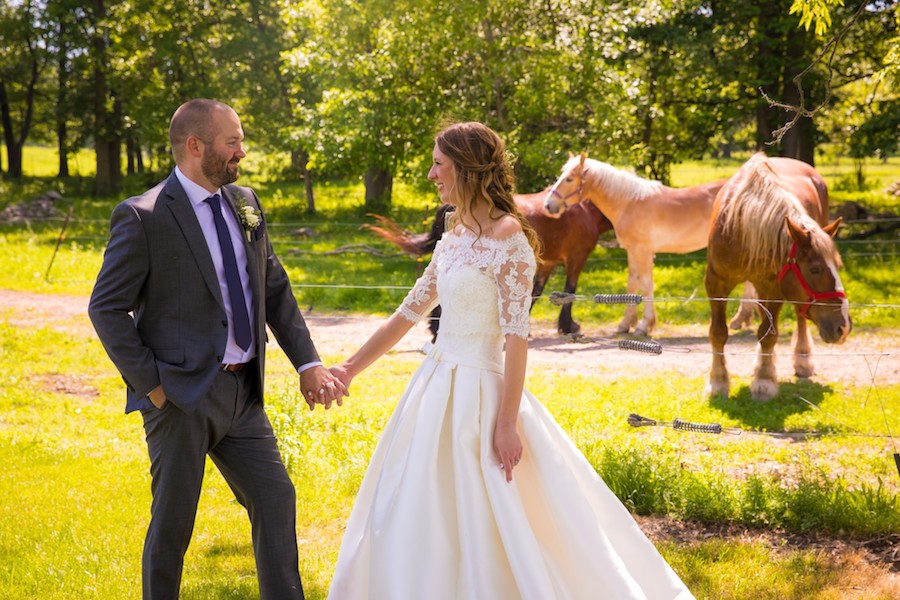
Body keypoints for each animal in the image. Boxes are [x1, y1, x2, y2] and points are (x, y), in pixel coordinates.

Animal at [540, 152, 760, 336]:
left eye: (569, 179)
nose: (548, 205)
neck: (629, 202)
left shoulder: (643, 251)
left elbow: (646, 284)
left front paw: (644, 325)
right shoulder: (631, 251)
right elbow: (632, 283)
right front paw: (625, 324)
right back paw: (741, 319)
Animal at [704, 152, 852, 400]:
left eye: (837, 266)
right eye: (815, 269)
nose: (843, 327)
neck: (742, 226)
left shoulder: (775, 289)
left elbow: (768, 335)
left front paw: (764, 381)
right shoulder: (716, 284)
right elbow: (718, 332)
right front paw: (718, 383)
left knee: (799, 318)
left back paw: (802, 359)